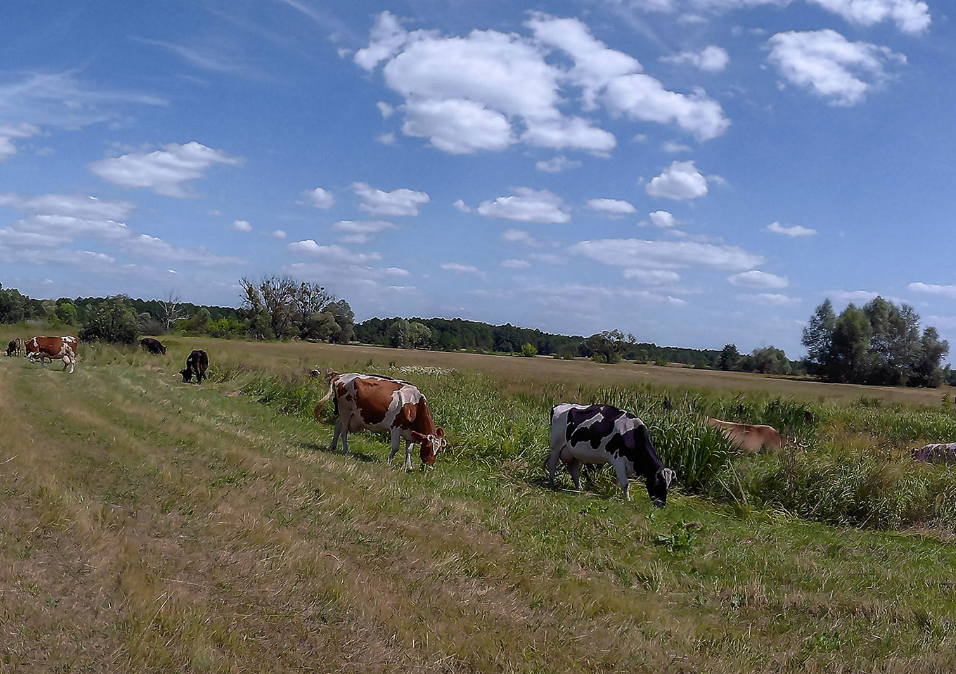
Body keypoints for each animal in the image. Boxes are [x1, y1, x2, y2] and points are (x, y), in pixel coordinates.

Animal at [316, 370, 446, 470]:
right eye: (428, 447)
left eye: (439, 450)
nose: (429, 467)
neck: (414, 404)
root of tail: (341, 375)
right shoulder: (396, 428)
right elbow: (395, 447)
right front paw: (388, 462)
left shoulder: (410, 432)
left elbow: (409, 449)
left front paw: (408, 466)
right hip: (345, 411)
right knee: (343, 431)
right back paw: (346, 451)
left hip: (348, 414)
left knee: (338, 425)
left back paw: (332, 446)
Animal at [548, 400, 676, 504]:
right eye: (658, 484)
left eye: (668, 486)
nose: (661, 505)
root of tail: (559, 405)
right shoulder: (618, 460)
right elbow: (625, 484)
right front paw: (628, 501)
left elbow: (619, 482)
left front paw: (615, 494)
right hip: (556, 446)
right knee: (552, 464)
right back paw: (551, 484)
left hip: (573, 452)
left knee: (574, 470)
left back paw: (579, 489)